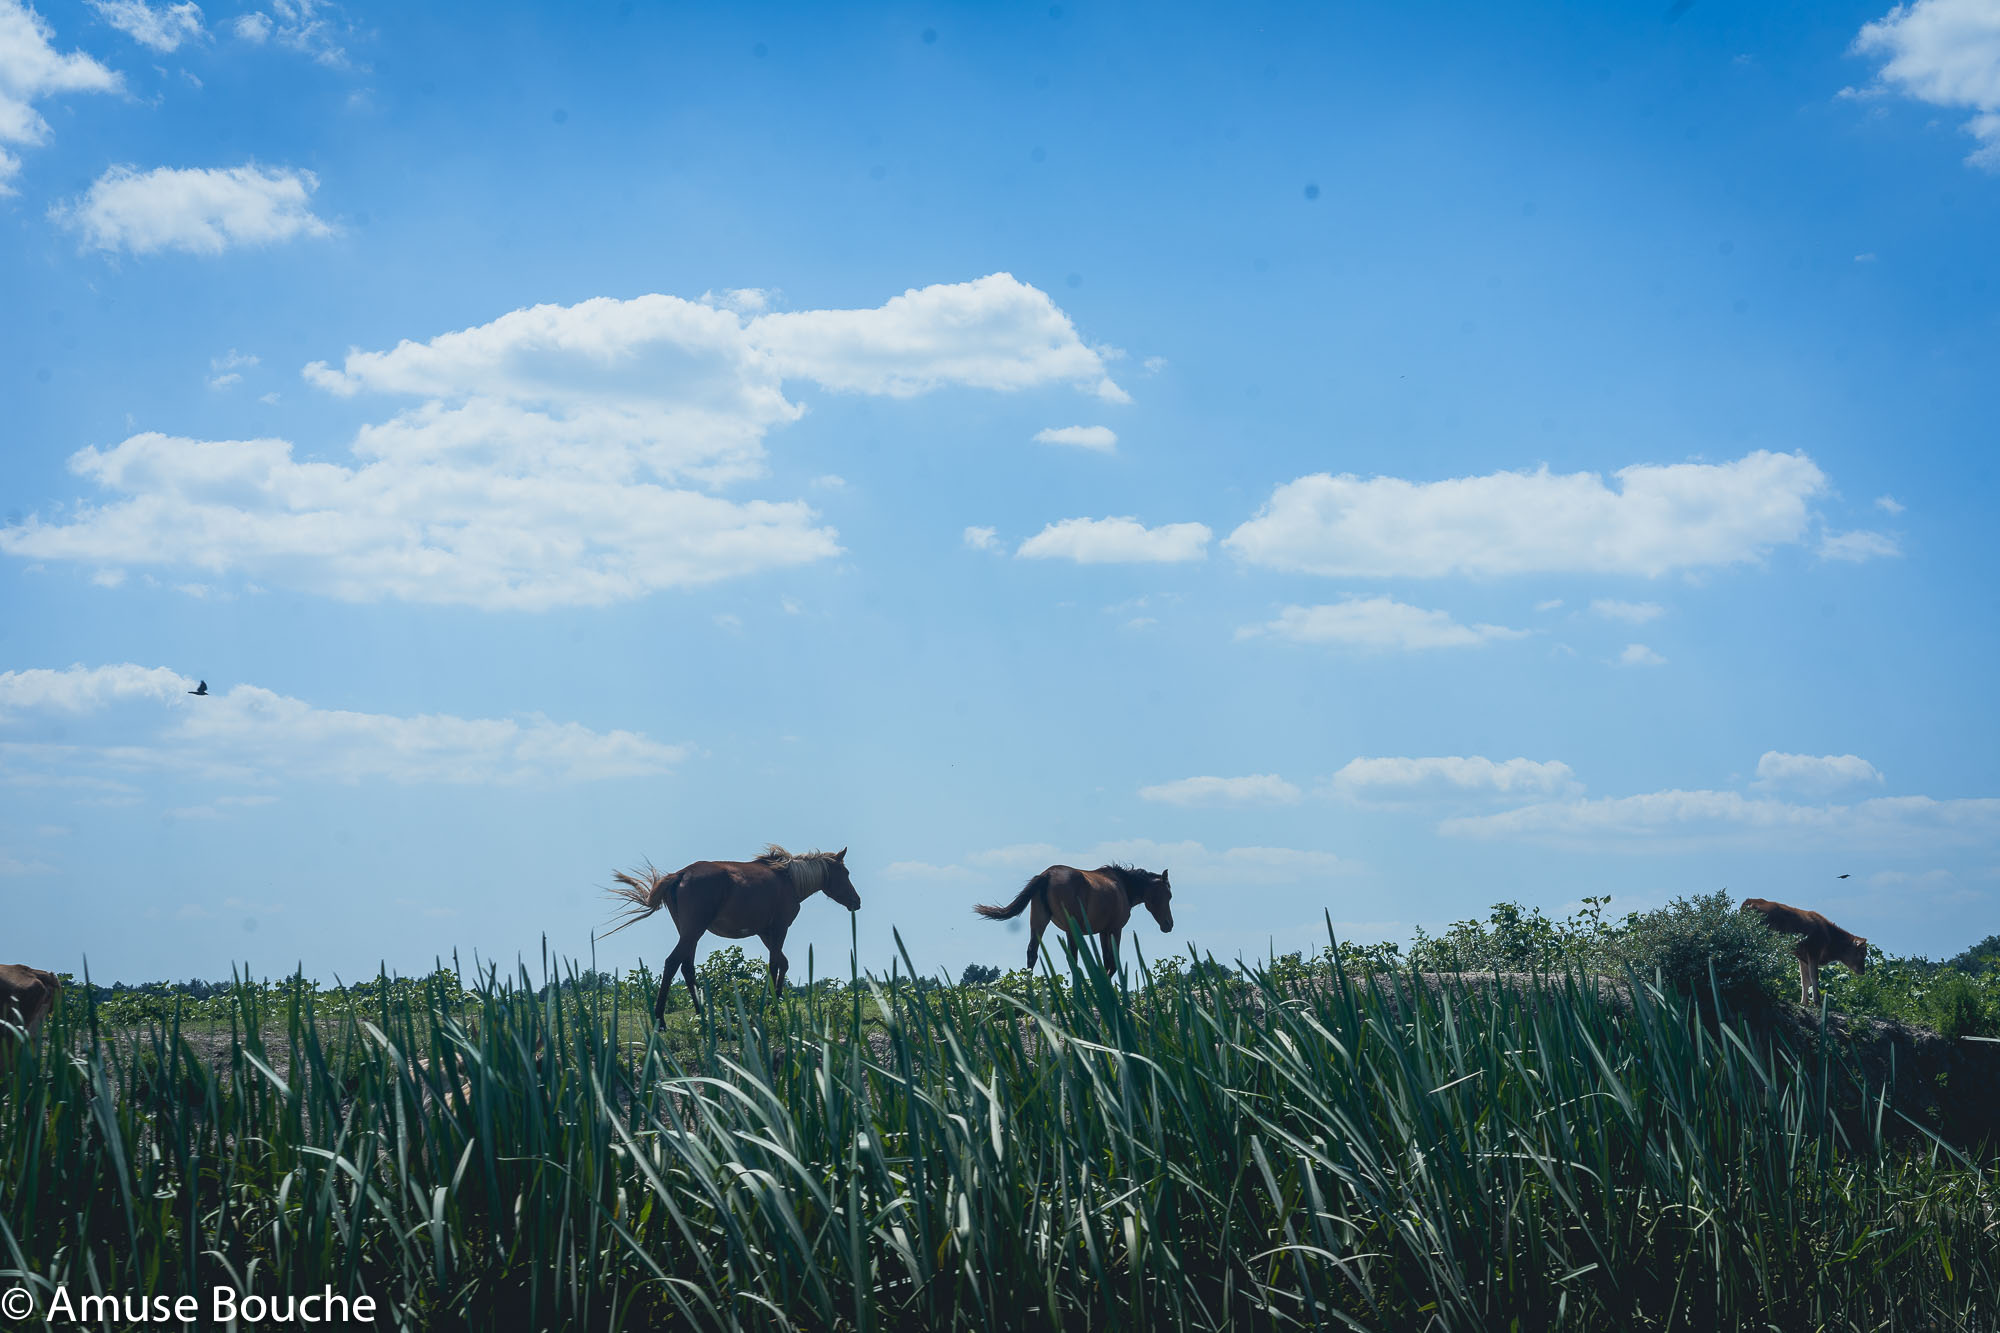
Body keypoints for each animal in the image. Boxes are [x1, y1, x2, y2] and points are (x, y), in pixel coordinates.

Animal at [972, 860, 1168, 964]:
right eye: (1169, 895)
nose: (1169, 924)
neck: (1123, 886)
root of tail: (1047, 875)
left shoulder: (1102, 932)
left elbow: (1107, 961)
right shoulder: (1114, 930)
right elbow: (1112, 963)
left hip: (1039, 922)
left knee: (1032, 953)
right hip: (1072, 930)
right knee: (1073, 957)